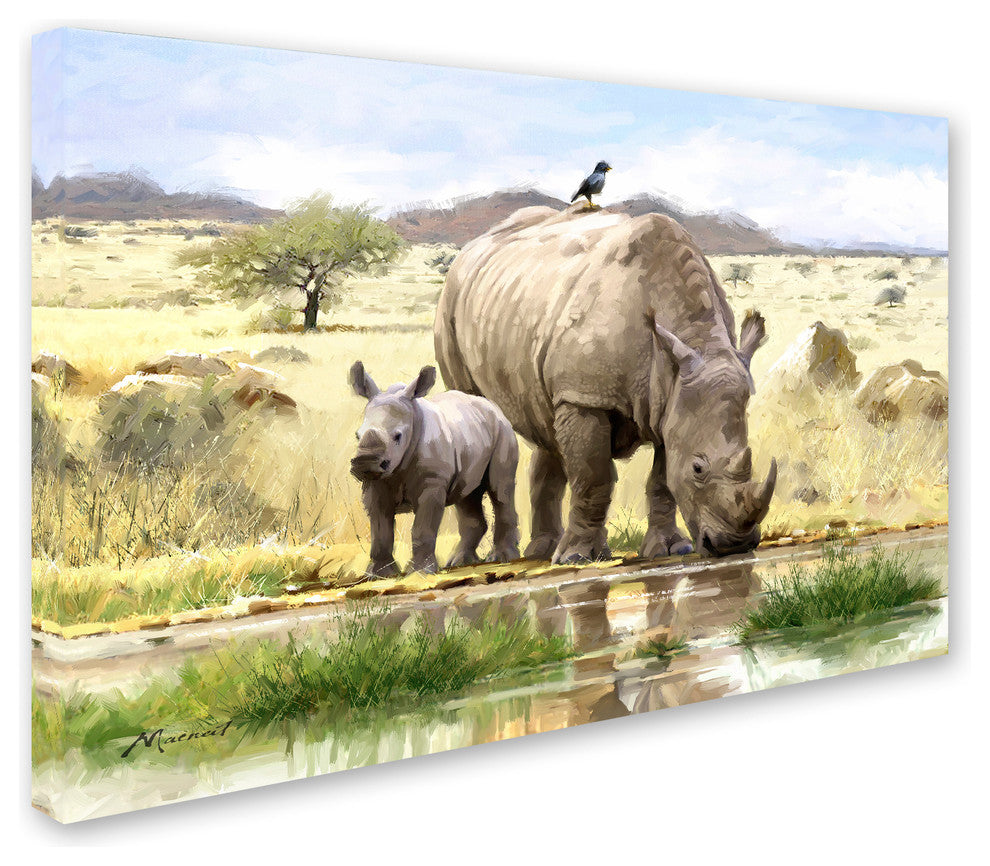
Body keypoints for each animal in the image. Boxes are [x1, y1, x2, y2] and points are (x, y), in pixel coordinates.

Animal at [349, 361, 521, 575]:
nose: (365, 462)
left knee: (500, 489)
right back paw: (458, 562)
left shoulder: (432, 482)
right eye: (357, 435)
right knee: (467, 496)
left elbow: (423, 528)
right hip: (471, 434)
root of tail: (493, 407)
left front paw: (421, 572)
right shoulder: (376, 483)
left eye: (398, 437)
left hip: (503, 430)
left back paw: (502, 558)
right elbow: (380, 530)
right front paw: (377, 574)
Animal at [434, 204, 777, 562]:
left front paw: (670, 549)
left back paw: (544, 551)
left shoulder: (670, 399)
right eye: (698, 469)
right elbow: (593, 477)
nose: (734, 545)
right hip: (451, 303)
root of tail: (472, 247)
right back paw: (488, 559)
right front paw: (577, 557)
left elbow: (662, 480)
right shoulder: (585, 396)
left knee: (547, 425)